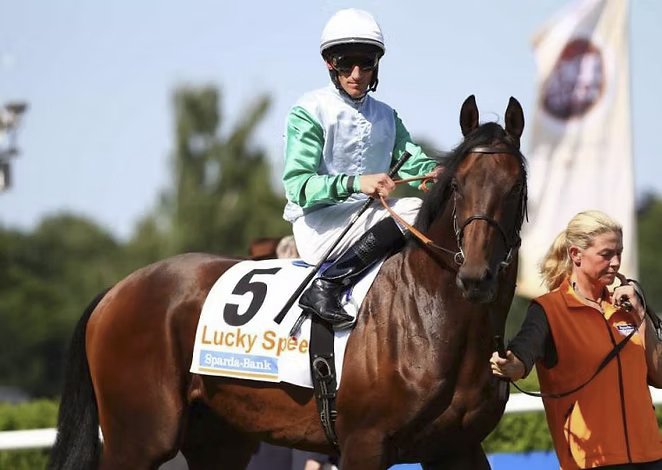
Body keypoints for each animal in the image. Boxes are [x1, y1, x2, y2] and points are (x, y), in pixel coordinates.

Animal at [49, 95, 527, 470]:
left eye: (516, 186)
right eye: (457, 185)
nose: (476, 277)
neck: (432, 320)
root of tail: (115, 292)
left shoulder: (457, 449)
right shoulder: (365, 444)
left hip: (218, 440)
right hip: (141, 439)